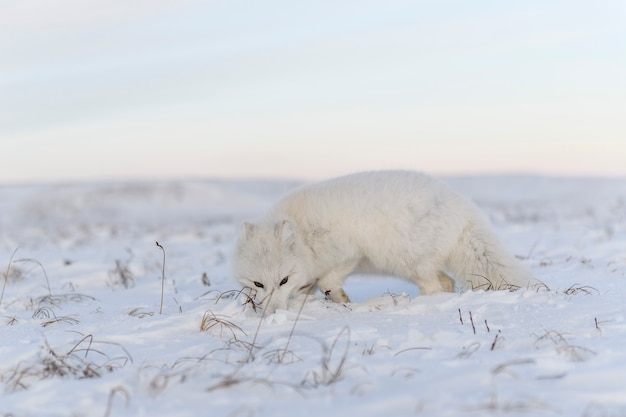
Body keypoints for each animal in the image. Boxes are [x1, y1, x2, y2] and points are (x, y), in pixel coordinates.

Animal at [232, 170, 532, 312]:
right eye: (258, 284)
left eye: (283, 279)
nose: (271, 312)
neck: (305, 234)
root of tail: (463, 207)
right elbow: (311, 287)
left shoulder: (350, 254)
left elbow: (328, 282)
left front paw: (341, 301)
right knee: (446, 282)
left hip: (407, 262)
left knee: (435, 286)